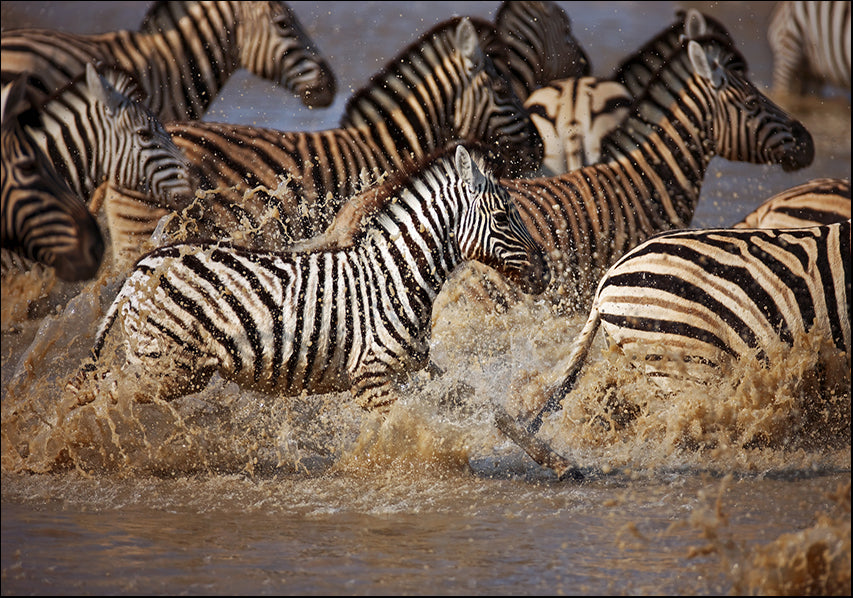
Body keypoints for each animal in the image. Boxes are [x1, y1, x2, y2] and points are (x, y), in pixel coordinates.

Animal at [65, 144, 550, 415]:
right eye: (503, 217)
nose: (545, 271)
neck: (397, 276)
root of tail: (138, 271)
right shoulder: (371, 379)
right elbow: (405, 424)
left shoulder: (416, 366)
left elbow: (488, 410)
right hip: (167, 368)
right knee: (99, 391)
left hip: (162, 364)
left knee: (89, 388)